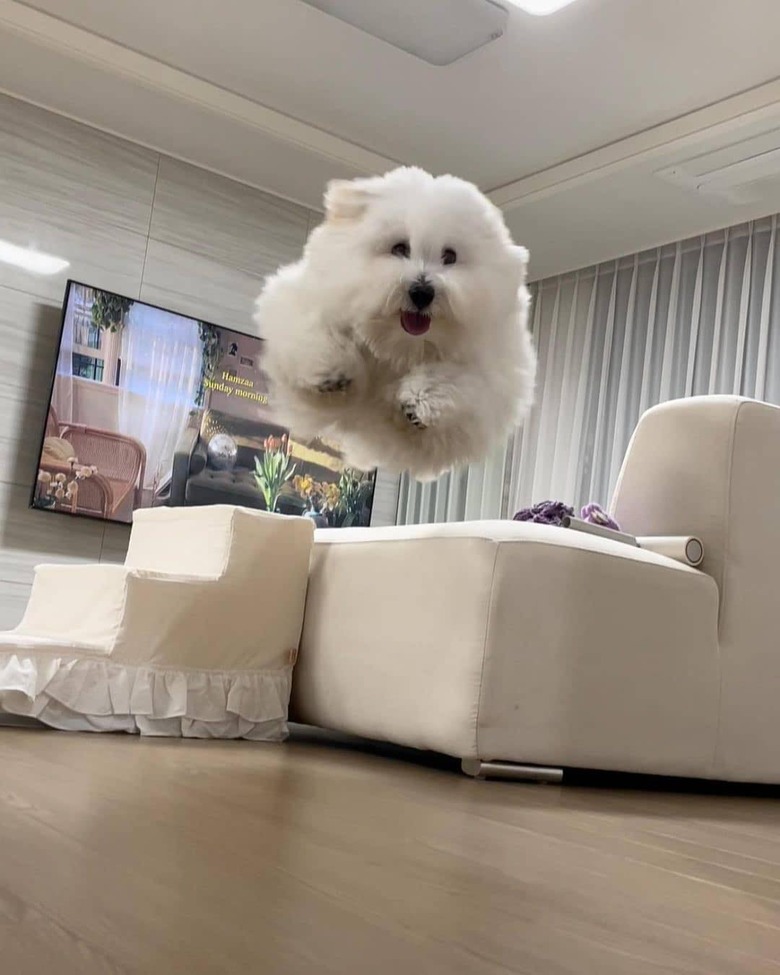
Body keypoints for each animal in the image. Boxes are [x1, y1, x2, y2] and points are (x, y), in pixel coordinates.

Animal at [254, 167, 536, 480]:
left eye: (450, 256)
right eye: (400, 248)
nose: (422, 291)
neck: (398, 345)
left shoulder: (496, 372)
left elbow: (458, 376)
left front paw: (417, 400)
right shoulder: (301, 302)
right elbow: (315, 330)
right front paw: (331, 370)